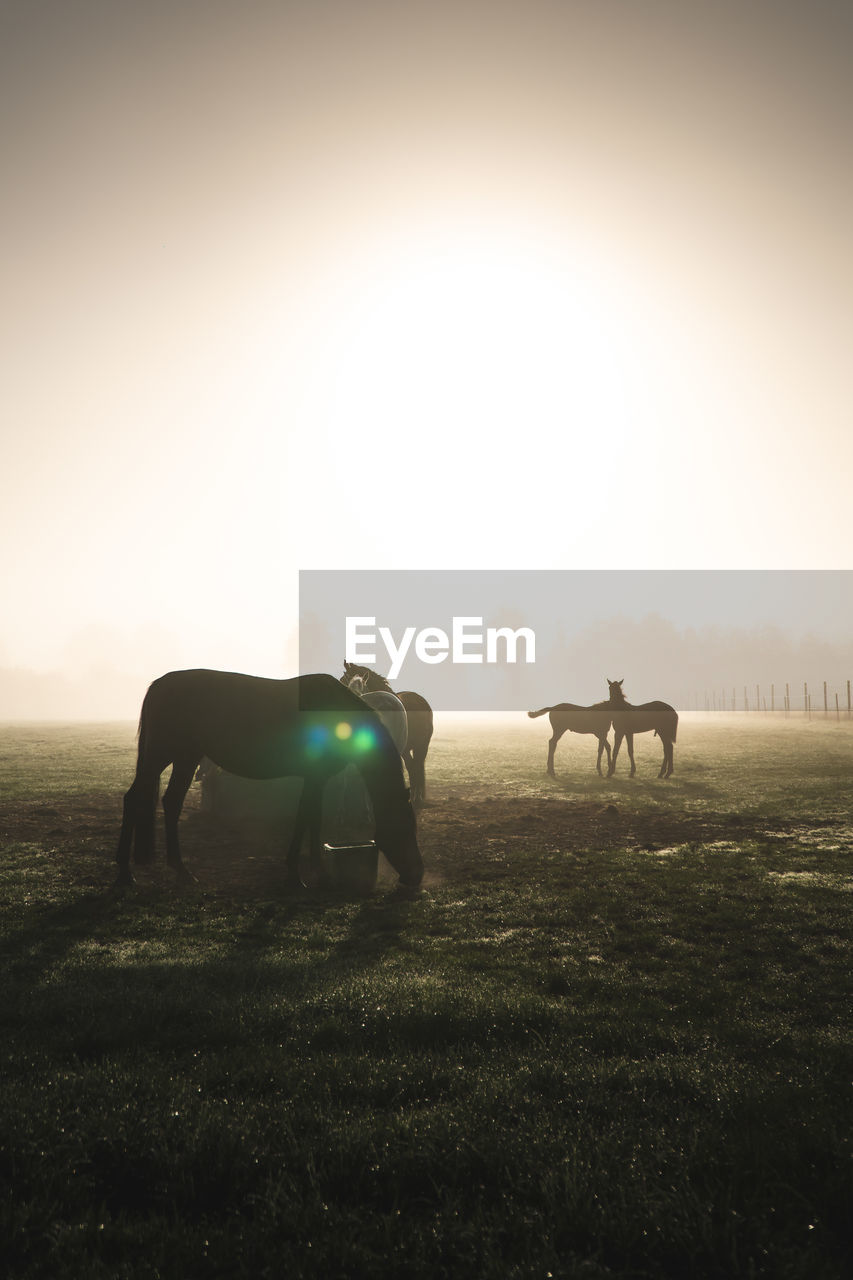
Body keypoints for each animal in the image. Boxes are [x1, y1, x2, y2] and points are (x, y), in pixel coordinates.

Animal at [115, 670, 422, 890]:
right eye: (406, 829)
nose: (416, 875)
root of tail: (158, 684)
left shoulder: (316, 778)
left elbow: (311, 817)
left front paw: (311, 872)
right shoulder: (313, 777)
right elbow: (306, 817)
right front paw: (302, 875)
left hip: (186, 757)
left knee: (171, 802)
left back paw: (181, 870)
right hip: (161, 755)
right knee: (134, 799)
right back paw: (125, 874)